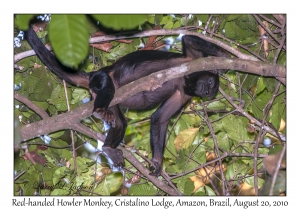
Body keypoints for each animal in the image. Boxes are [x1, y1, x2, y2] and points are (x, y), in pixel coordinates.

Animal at [25, 26, 229, 177]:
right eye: (210, 84)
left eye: (210, 92)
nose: (206, 91)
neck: (187, 80)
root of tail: (93, 74)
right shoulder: (192, 61)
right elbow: (188, 39)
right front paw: (223, 56)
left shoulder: (184, 95)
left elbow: (160, 119)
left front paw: (157, 162)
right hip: (101, 78)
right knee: (107, 87)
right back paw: (100, 110)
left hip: (112, 100)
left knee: (120, 122)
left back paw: (108, 147)